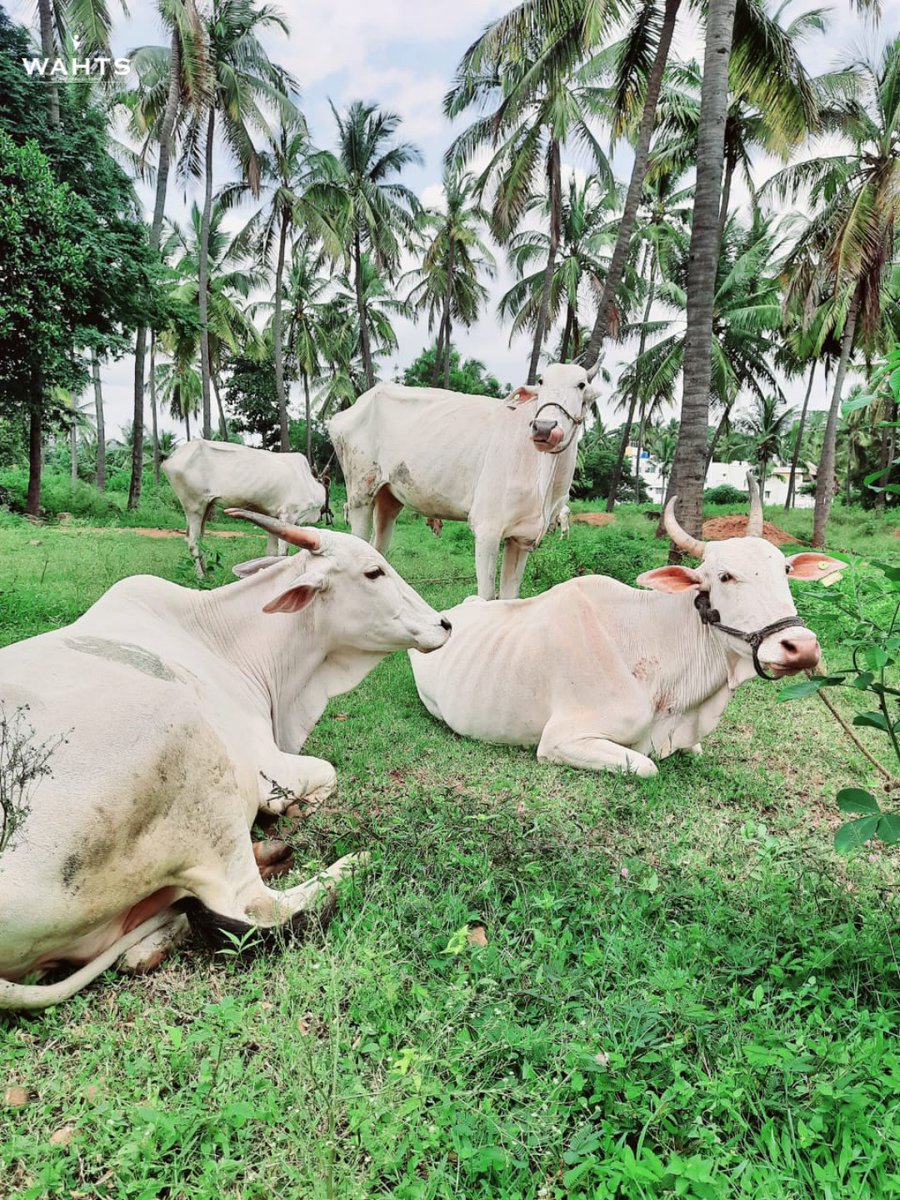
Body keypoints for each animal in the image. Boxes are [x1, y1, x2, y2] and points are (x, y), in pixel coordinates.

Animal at [0, 515, 451, 1009]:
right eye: (373, 572)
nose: (445, 623)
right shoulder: (267, 770)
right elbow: (325, 775)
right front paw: (295, 813)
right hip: (193, 757)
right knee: (255, 905)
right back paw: (351, 863)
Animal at [162, 440, 327, 576]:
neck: (310, 483)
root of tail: (172, 457)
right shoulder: (289, 515)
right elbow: (282, 553)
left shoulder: (274, 518)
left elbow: (271, 552)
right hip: (194, 506)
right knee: (193, 541)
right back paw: (201, 577)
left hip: (206, 506)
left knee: (199, 540)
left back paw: (207, 574)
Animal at [327, 362, 598, 600]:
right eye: (541, 382)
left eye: (581, 384)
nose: (544, 428)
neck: (544, 481)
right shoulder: (487, 529)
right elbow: (487, 597)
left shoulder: (522, 539)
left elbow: (510, 598)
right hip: (360, 493)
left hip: (389, 498)